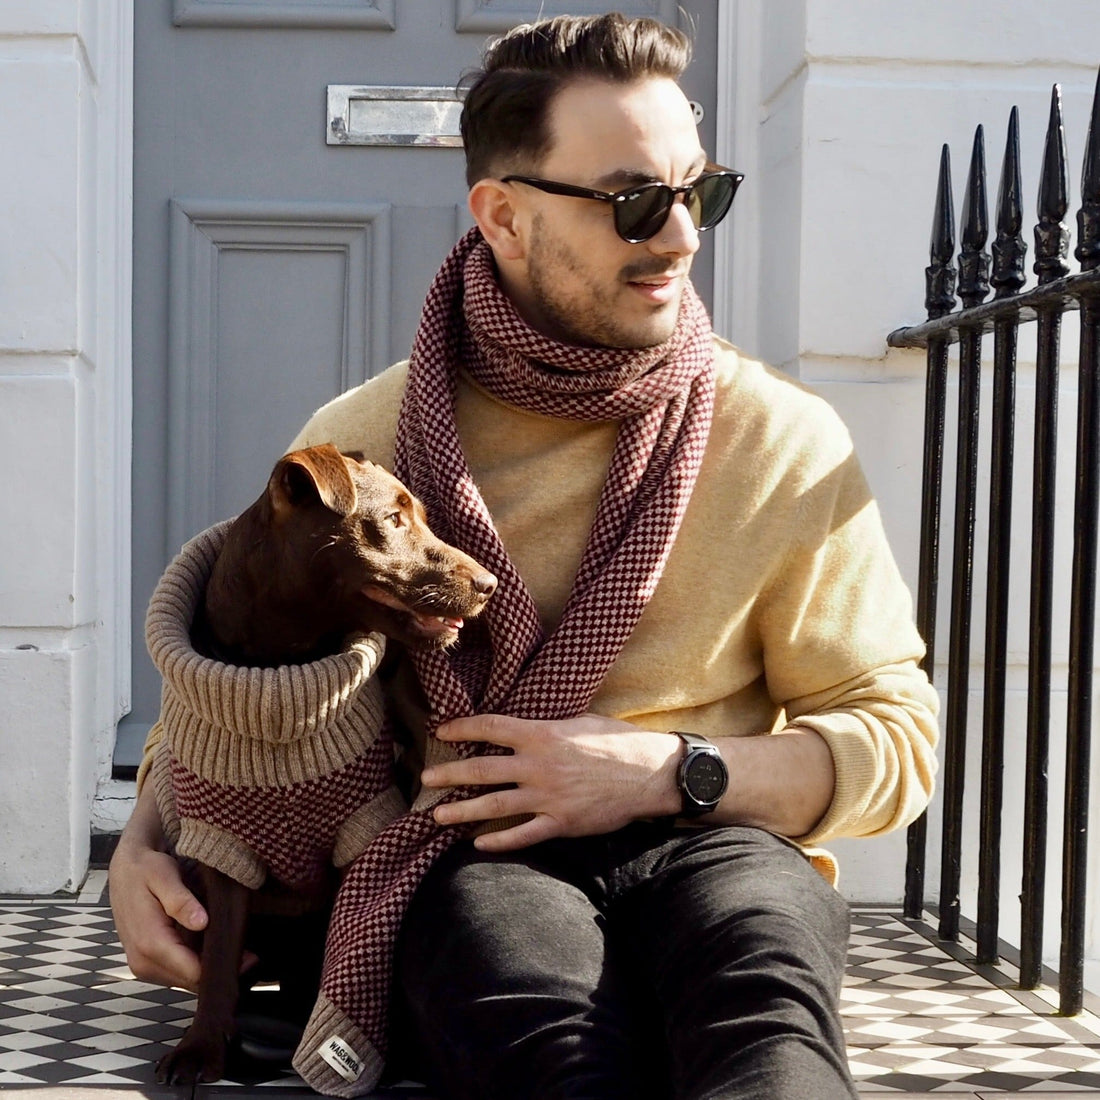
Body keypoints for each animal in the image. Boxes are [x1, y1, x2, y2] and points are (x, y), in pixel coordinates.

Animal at [152, 444, 497, 1082]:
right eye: (393, 520)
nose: (488, 585)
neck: (282, 676)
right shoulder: (220, 849)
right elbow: (218, 956)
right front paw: (202, 1048)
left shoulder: (362, 830)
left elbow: (345, 935)